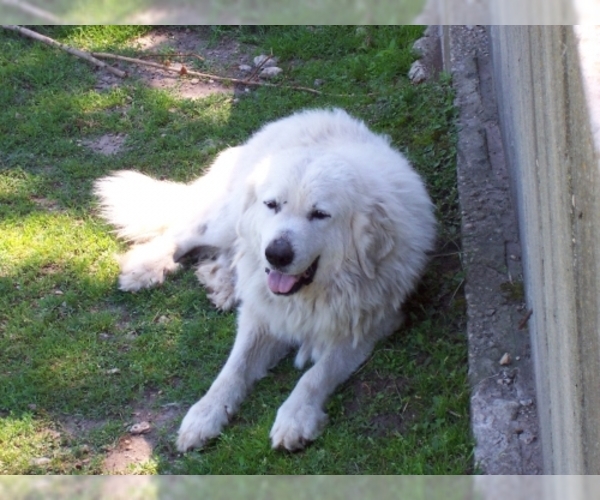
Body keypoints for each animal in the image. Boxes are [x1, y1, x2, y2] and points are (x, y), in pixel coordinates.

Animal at [94, 107, 436, 452]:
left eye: (320, 214)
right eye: (272, 205)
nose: (276, 255)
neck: (310, 295)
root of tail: (304, 115)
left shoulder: (368, 325)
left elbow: (316, 374)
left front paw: (295, 416)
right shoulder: (260, 316)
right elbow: (233, 368)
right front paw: (204, 414)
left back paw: (222, 282)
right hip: (228, 220)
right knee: (186, 232)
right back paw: (146, 267)